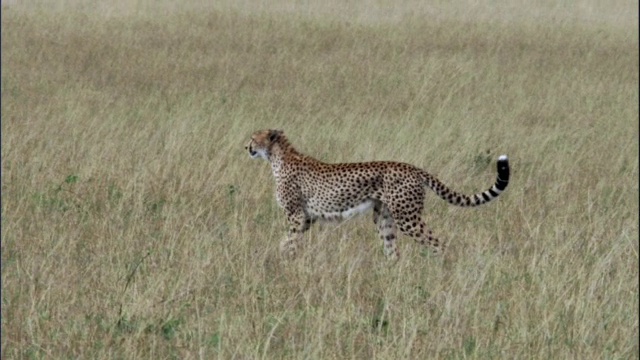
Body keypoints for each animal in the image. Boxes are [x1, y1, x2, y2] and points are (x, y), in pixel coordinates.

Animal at [246, 129, 510, 258]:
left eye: (253, 138)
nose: (246, 146)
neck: (277, 157)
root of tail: (412, 167)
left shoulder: (297, 216)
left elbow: (287, 241)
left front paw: (282, 261)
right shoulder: (307, 218)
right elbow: (289, 241)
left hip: (407, 218)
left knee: (438, 243)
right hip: (384, 217)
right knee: (393, 251)